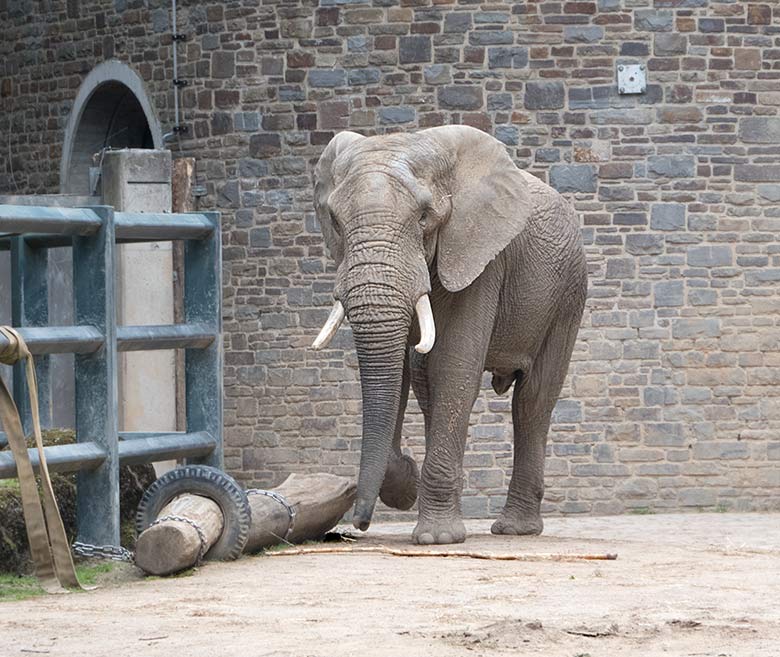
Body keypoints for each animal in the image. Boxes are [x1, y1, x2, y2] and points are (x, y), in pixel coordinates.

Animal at [310, 124, 584, 544]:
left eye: (425, 217)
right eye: (336, 221)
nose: (359, 524)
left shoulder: (479, 256)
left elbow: (454, 368)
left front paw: (436, 539)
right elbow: (400, 374)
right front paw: (406, 485)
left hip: (568, 294)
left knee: (533, 399)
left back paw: (514, 530)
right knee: (427, 387)